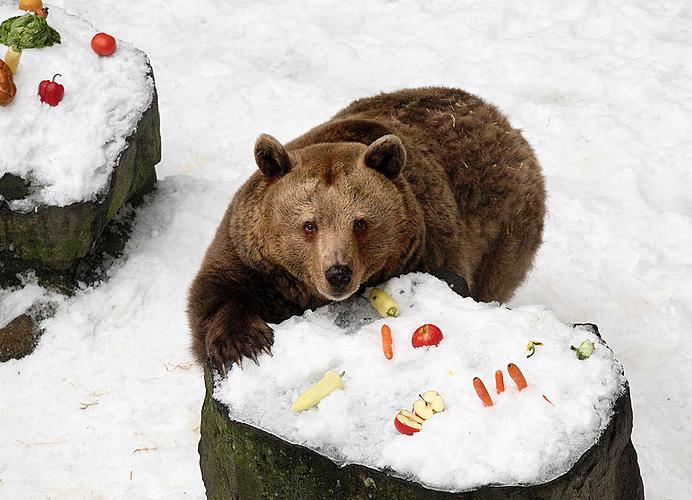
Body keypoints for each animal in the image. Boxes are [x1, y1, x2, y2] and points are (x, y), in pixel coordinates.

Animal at [188, 88, 548, 374]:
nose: (338, 273)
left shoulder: (432, 246)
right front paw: (242, 345)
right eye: (308, 225)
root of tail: (499, 117)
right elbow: (217, 293)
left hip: (505, 236)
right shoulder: (253, 257)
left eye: (360, 222)